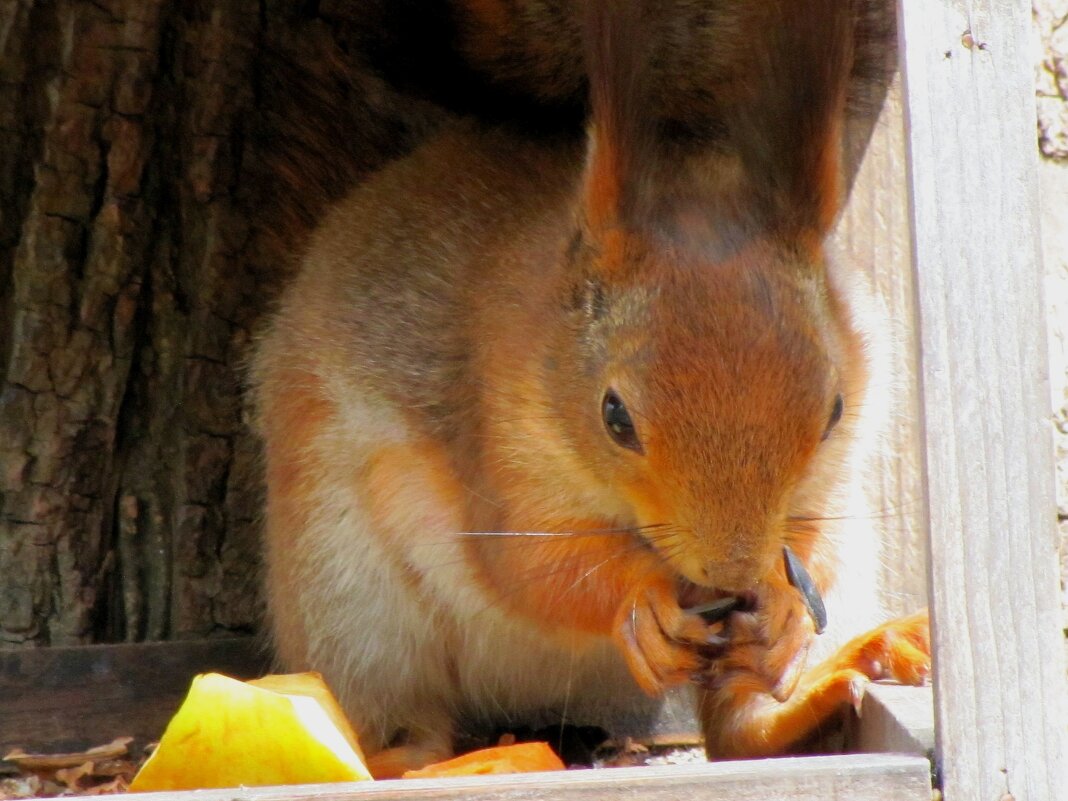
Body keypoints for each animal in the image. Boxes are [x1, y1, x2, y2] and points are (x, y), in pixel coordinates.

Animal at [249, 0, 927, 777]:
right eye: (615, 417)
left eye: (834, 410)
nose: (732, 572)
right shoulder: (499, 439)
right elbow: (534, 566)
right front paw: (641, 602)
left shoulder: (842, 460)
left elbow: (809, 536)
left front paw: (784, 608)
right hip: (349, 603)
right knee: (402, 722)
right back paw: (430, 761)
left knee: (739, 730)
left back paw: (847, 664)